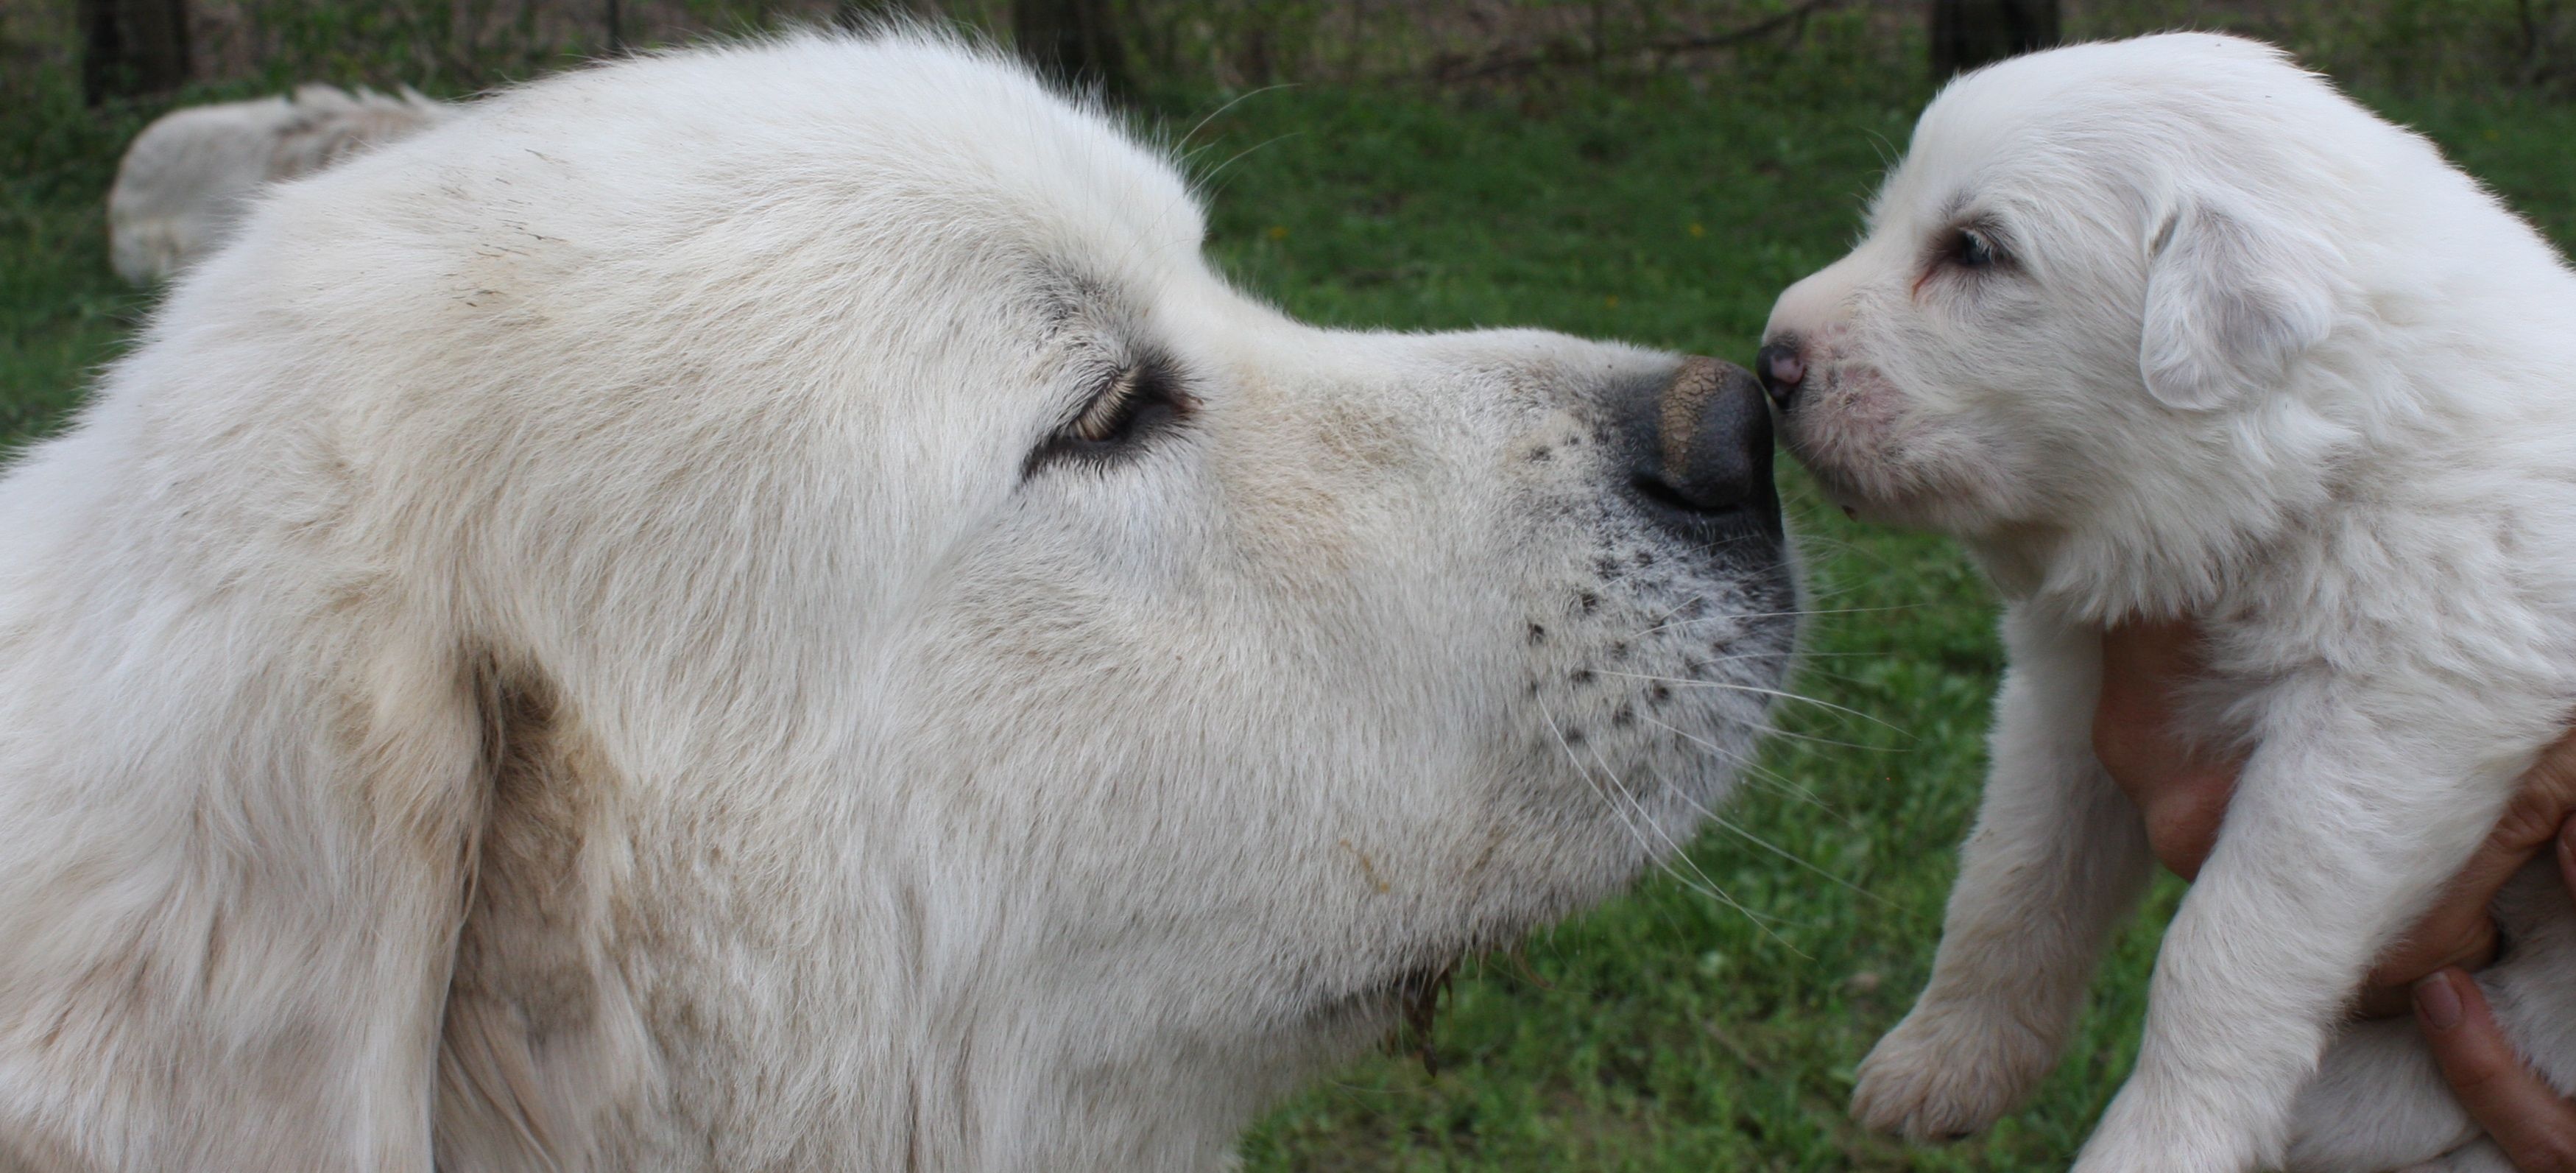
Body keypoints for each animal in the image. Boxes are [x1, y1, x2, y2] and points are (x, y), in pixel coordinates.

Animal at [1762, 32, 2576, 1173]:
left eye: (1975, 250)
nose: (1767, 364)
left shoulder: (2385, 724)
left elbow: (2225, 941)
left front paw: (2159, 1142)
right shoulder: (2062, 699)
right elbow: (2012, 876)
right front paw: (1945, 1059)